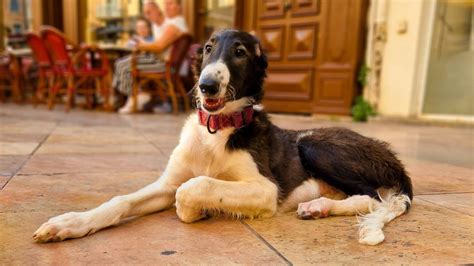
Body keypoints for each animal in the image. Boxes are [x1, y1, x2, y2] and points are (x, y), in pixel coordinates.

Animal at [32, 29, 412, 245]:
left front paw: (196, 210)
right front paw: (69, 223)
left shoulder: (266, 189)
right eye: (207, 48)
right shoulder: (167, 183)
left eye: (240, 52)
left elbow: (195, 186)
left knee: (376, 198)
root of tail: (395, 160)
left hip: (314, 143)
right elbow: (122, 200)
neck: (215, 129)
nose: (206, 86)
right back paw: (318, 205)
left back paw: (319, 206)